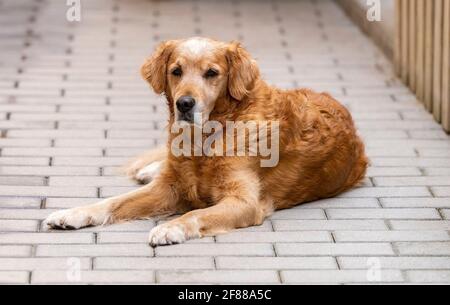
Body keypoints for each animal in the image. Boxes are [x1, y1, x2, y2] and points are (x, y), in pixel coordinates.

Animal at [44, 36, 370, 246]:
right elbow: (112, 202)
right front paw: (72, 213)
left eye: (212, 73)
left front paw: (170, 228)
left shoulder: (245, 201)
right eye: (176, 71)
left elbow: (197, 213)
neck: (207, 138)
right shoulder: (167, 188)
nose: (184, 104)